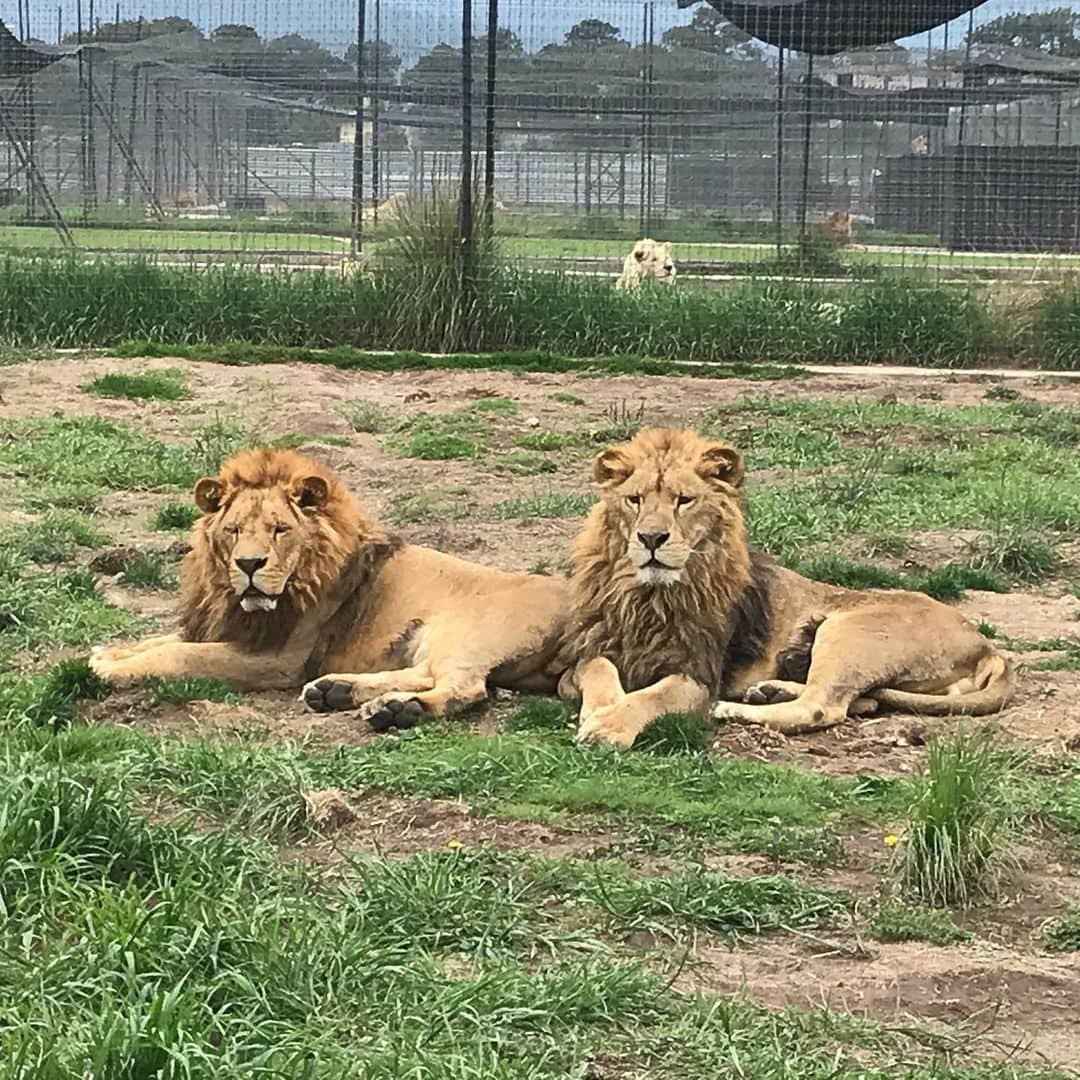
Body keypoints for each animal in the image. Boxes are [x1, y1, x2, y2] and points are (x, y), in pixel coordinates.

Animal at [90, 447, 574, 734]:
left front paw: (109, 670)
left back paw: (398, 711)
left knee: (464, 687)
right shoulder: (223, 625)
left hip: (466, 632)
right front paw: (109, 654)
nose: (248, 565)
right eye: (234, 530)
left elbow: (180, 654)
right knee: (426, 673)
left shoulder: (278, 658)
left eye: (279, 530)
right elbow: (159, 641)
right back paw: (335, 691)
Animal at [561, 425, 1015, 747]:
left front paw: (609, 725)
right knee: (860, 700)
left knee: (823, 707)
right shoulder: (591, 651)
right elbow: (598, 671)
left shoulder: (699, 673)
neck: (647, 595)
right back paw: (767, 691)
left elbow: (654, 696)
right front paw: (601, 709)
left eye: (684, 500)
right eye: (635, 499)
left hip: (847, 630)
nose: (651, 538)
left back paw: (732, 709)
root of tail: (985, 644)